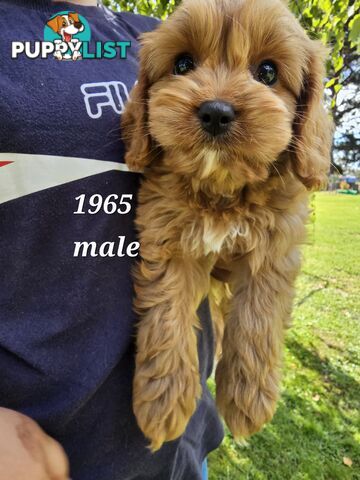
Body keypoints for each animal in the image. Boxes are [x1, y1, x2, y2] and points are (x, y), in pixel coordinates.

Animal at [122, 0, 334, 452]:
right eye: (183, 64)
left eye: (268, 72)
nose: (216, 112)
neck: (223, 189)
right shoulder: (167, 233)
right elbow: (167, 311)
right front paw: (164, 398)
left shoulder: (276, 246)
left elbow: (258, 315)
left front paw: (248, 397)